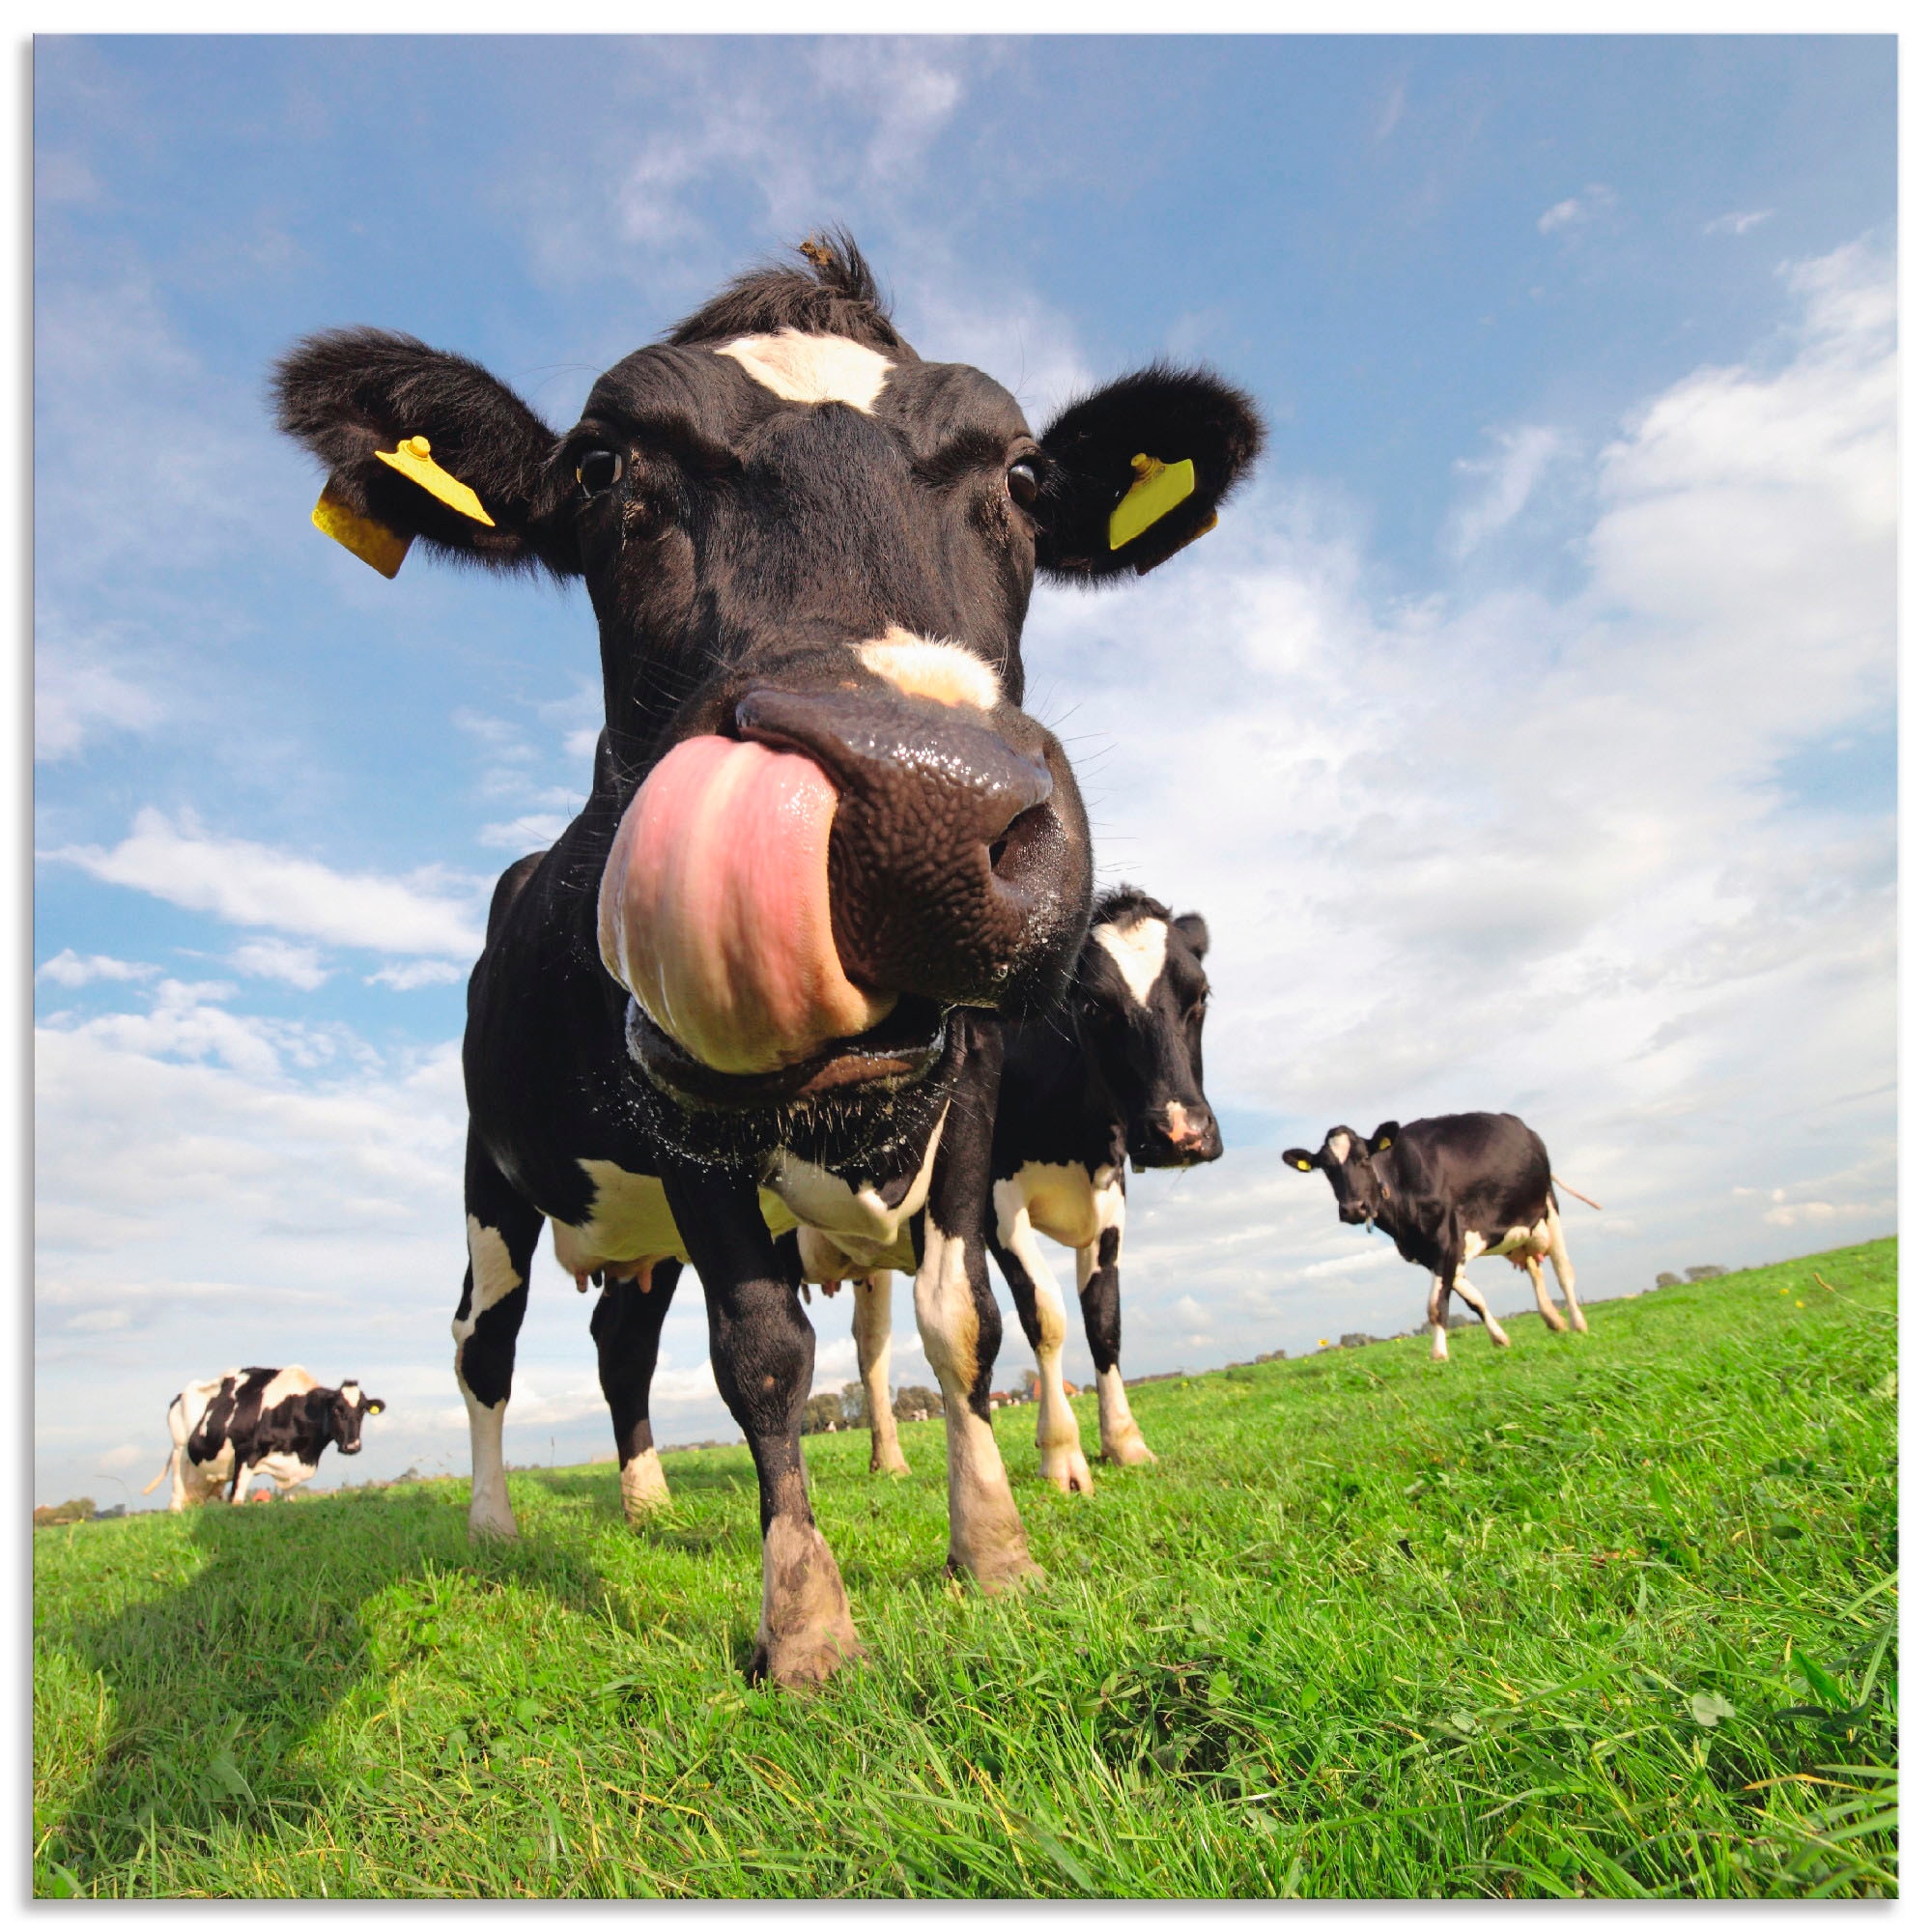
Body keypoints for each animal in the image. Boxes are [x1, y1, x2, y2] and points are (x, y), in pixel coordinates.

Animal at [142, 1368, 385, 1510]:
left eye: (363, 1410)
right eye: (336, 1409)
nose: (352, 1446)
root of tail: (179, 1396)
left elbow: (290, 1498)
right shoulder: (245, 1451)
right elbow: (237, 1499)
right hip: (179, 1451)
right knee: (176, 1492)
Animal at [274, 233, 1262, 1687]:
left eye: (1025, 475)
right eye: (600, 468)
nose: (923, 805)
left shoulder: (971, 1105)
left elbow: (964, 1322)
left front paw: (995, 1549)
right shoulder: (684, 1119)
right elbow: (760, 1352)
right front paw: (802, 1618)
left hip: (636, 1234)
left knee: (620, 1345)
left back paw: (640, 1496)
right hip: (491, 1177)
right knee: (483, 1341)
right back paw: (496, 1523)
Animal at [1282, 1113, 1592, 1360]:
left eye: (1365, 1158)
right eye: (1326, 1168)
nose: (1352, 1209)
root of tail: (1526, 1130)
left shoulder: (1448, 1240)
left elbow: (1435, 1306)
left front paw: (1438, 1354)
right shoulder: (1429, 1251)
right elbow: (1474, 1299)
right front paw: (1499, 1338)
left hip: (1548, 1207)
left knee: (1564, 1271)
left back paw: (1577, 1323)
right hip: (1517, 1232)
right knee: (1533, 1268)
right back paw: (1553, 1319)